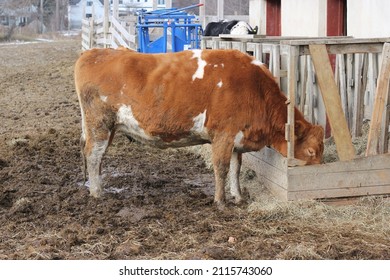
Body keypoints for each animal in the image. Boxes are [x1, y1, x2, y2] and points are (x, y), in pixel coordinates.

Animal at [74, 47, 324, 206]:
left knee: (96, 156)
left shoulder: (236, 139)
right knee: (93, 155)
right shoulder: (223, 134)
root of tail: (92, 52)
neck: (255, 88)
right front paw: (220, 201)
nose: (317, 193)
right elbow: (221, 168)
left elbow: (236, 169)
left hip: (107, 128)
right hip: (99, 124)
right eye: (311, 151)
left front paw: (238, 197)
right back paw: (97, 193)